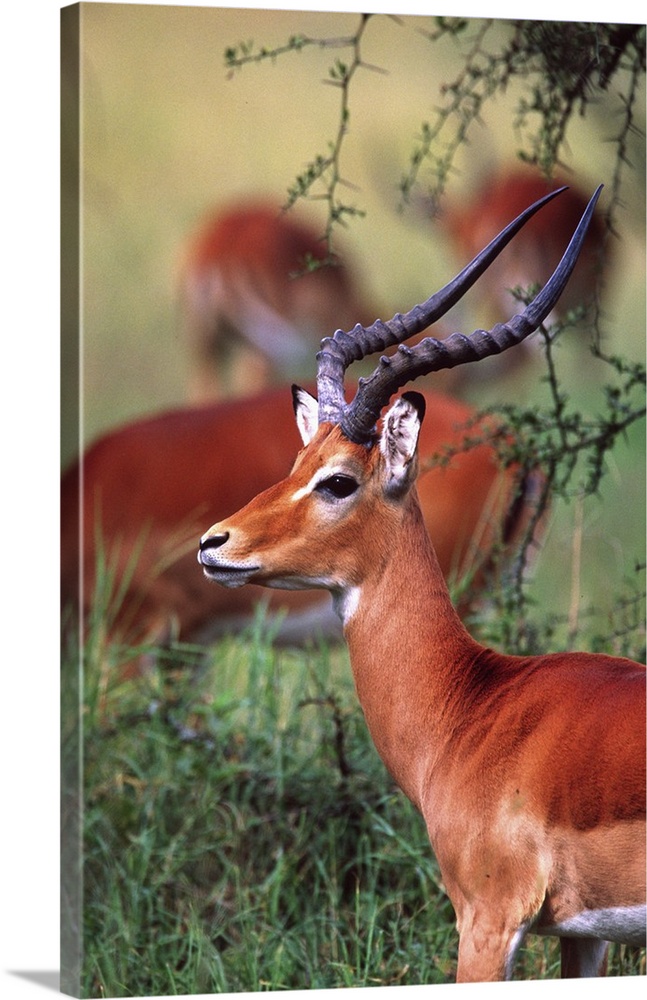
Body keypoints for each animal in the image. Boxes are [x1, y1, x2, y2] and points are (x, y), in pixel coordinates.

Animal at [200, 184, 644, 980]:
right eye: (295, 461)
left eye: (338, 480)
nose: (213, 544)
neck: (472, 703)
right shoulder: (582, 933)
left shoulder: (489, 920)